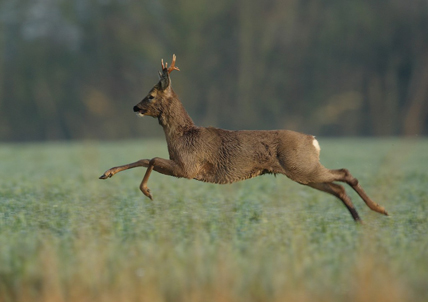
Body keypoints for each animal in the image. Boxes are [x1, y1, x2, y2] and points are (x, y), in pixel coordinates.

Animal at [99, 54, 388, 222]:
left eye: (150, 95)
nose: (135, 107)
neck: (183, 136)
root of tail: (313, 140)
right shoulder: (183, 167)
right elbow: (145, 158)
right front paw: (107, 173)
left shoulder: (188, 168)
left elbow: (150, 158)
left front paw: (146, 191)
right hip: (302, 172)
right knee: (338, 187)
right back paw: (359, 218)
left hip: (302, 167)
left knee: (345, 174)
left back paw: (378, 210)